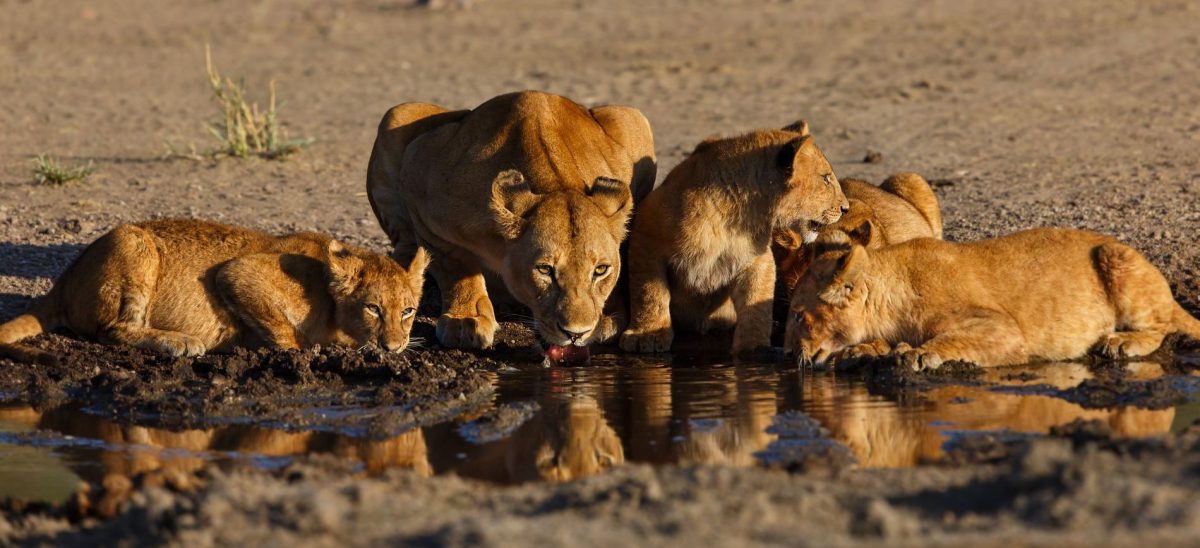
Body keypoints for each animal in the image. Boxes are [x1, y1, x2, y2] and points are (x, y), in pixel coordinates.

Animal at [0, 219, 428, 365]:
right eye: (373, 308)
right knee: (114, 330)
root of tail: (64, 278)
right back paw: (180, 342)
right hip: (134, 242)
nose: (393, 347)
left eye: (408, 311)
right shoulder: (239, 273)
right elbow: (289, 337)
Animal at [366, 91, 656, 356]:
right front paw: (466, 320)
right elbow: (455, 265)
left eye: (601, 270)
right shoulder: (420, 174)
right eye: (544, 269)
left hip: (632, 117)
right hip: (399, 113)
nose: (576, 334)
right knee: (404, 240)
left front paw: (607, 317)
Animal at [619, 121, 849, 356]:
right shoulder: (647, 235)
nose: (845, 208)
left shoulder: (757, 259)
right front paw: (647, 335)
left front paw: (754, 347)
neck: (735, 218)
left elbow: (758, 304)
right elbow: (650, 293)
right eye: (826, 178)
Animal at [787, 228, 1200, 369]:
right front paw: (864, 350)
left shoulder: (1003, 329)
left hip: (1115, 257)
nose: (789, 355)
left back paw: (1121, 342)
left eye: (796, 316)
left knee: (1163, 326)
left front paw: (917, 353)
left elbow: (951, 339)